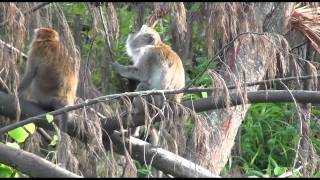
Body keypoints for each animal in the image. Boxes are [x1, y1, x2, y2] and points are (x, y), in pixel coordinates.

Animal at [18, 27, 79, 168]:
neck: (49, 41)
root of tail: (63, 101)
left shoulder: (36, 49)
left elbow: (30, 72)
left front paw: (17, 92)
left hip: (42, 95)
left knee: (34, 77)